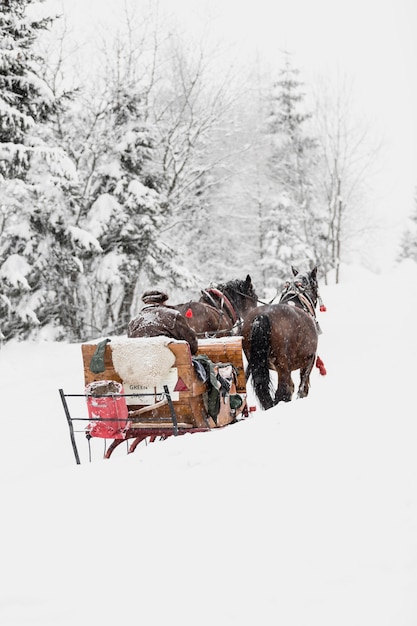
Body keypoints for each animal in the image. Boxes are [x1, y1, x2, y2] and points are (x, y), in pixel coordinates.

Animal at [240, 266, 324, 410]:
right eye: (316, 285)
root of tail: (262, 316)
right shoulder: (309, 361)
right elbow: (302, 388)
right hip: (283, 367)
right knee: (282, 393)